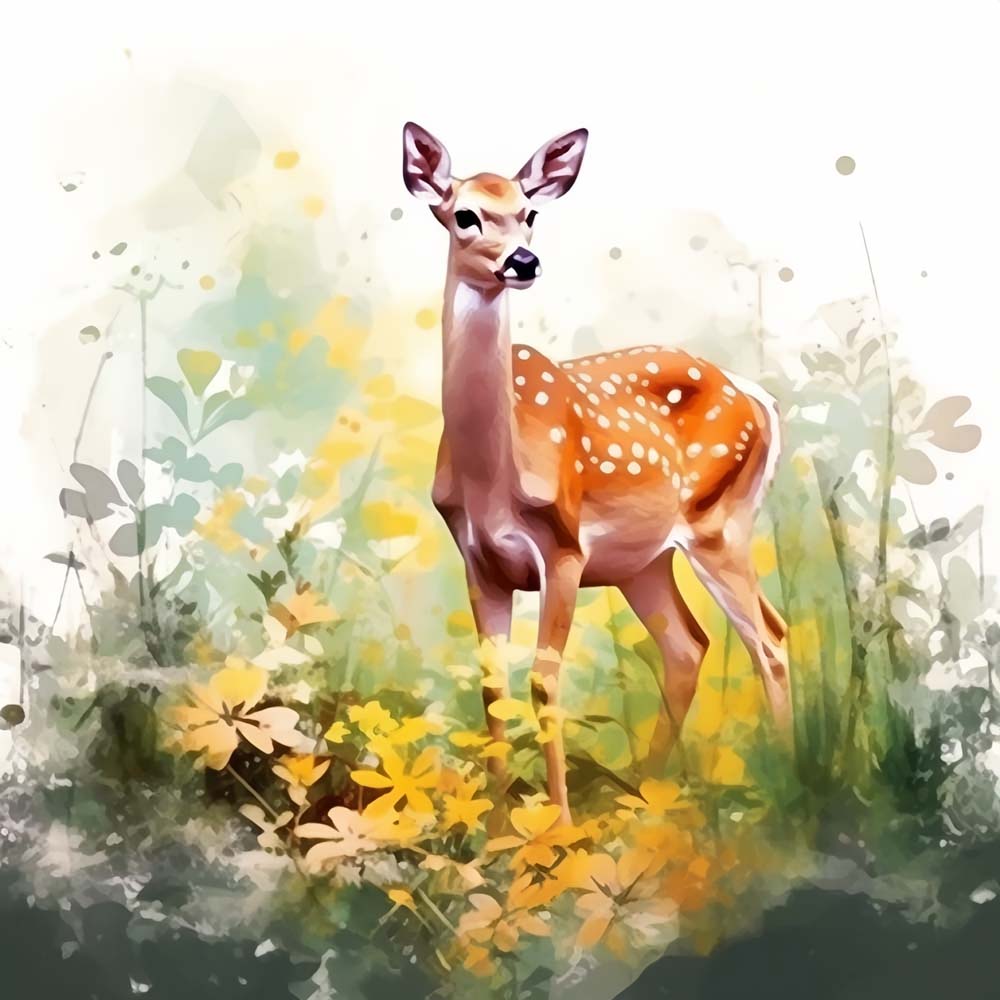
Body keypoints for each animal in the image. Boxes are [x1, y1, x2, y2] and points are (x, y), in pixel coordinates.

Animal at [402, 122, 791, 824]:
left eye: (530, 214)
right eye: (465, 214)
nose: (522, 262)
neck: (491, 479)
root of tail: (758, 398)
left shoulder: (563, 546)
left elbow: (543, 679)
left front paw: (555, 826)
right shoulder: (477, 559)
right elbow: (493, 684)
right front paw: (494, 825)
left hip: (719, 524)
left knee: (769, 638)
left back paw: (788, 787)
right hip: (644, 561)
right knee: (689, 645)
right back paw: (642, 793)